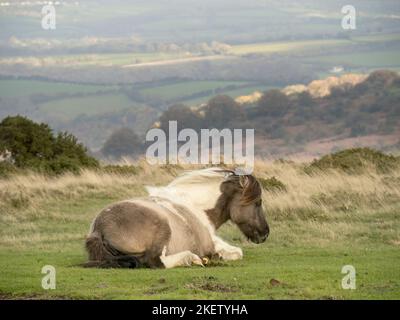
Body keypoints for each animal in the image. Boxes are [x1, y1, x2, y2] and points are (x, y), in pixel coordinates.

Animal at [86, 169, 270, 268]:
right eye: (258, 202)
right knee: (157, 261)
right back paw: (194, 259)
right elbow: (238, 252)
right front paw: (216, 256)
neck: (195, 205)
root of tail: (99, 228)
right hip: (162, 229)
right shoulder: (213, 243)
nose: (265, 233)